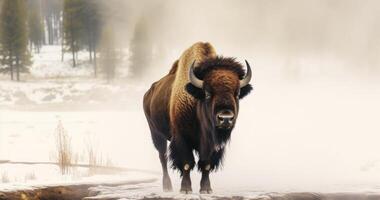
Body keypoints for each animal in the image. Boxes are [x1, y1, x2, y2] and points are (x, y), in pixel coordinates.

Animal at [142, 42, 252, 194]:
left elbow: (206, 164)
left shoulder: (211, 144)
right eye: (207, 93)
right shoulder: (182, 138)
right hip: (156, 134)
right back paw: (167, 187)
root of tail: (148, 93)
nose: (225, 118)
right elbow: (187, 163)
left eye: (237, 93)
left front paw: (206, 189)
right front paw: (185, 189)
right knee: (162, 157)